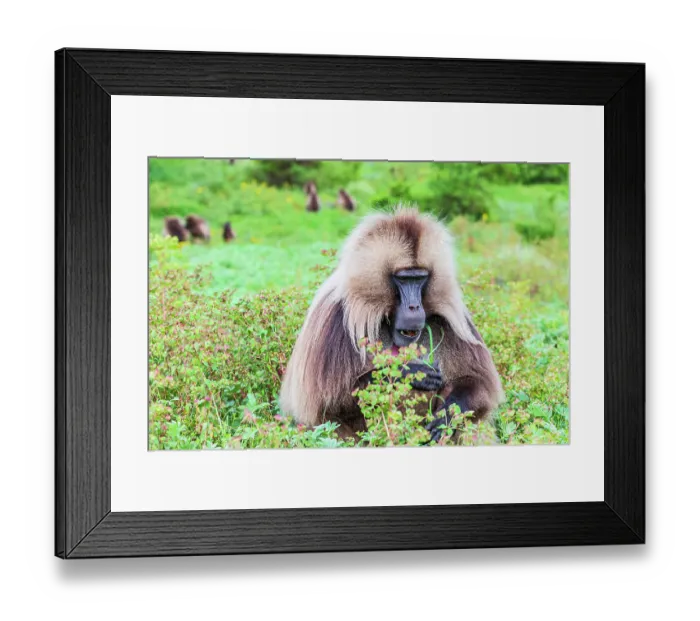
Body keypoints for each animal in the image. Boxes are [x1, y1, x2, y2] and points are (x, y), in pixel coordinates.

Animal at [280, 206, 504, 444]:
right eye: (403, 279)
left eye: (420, 278)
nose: (414, 307)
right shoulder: (333, 317)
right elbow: (324, 402)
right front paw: (408, 371)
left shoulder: (454, 319)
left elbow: (477, 382)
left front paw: (447, 416)